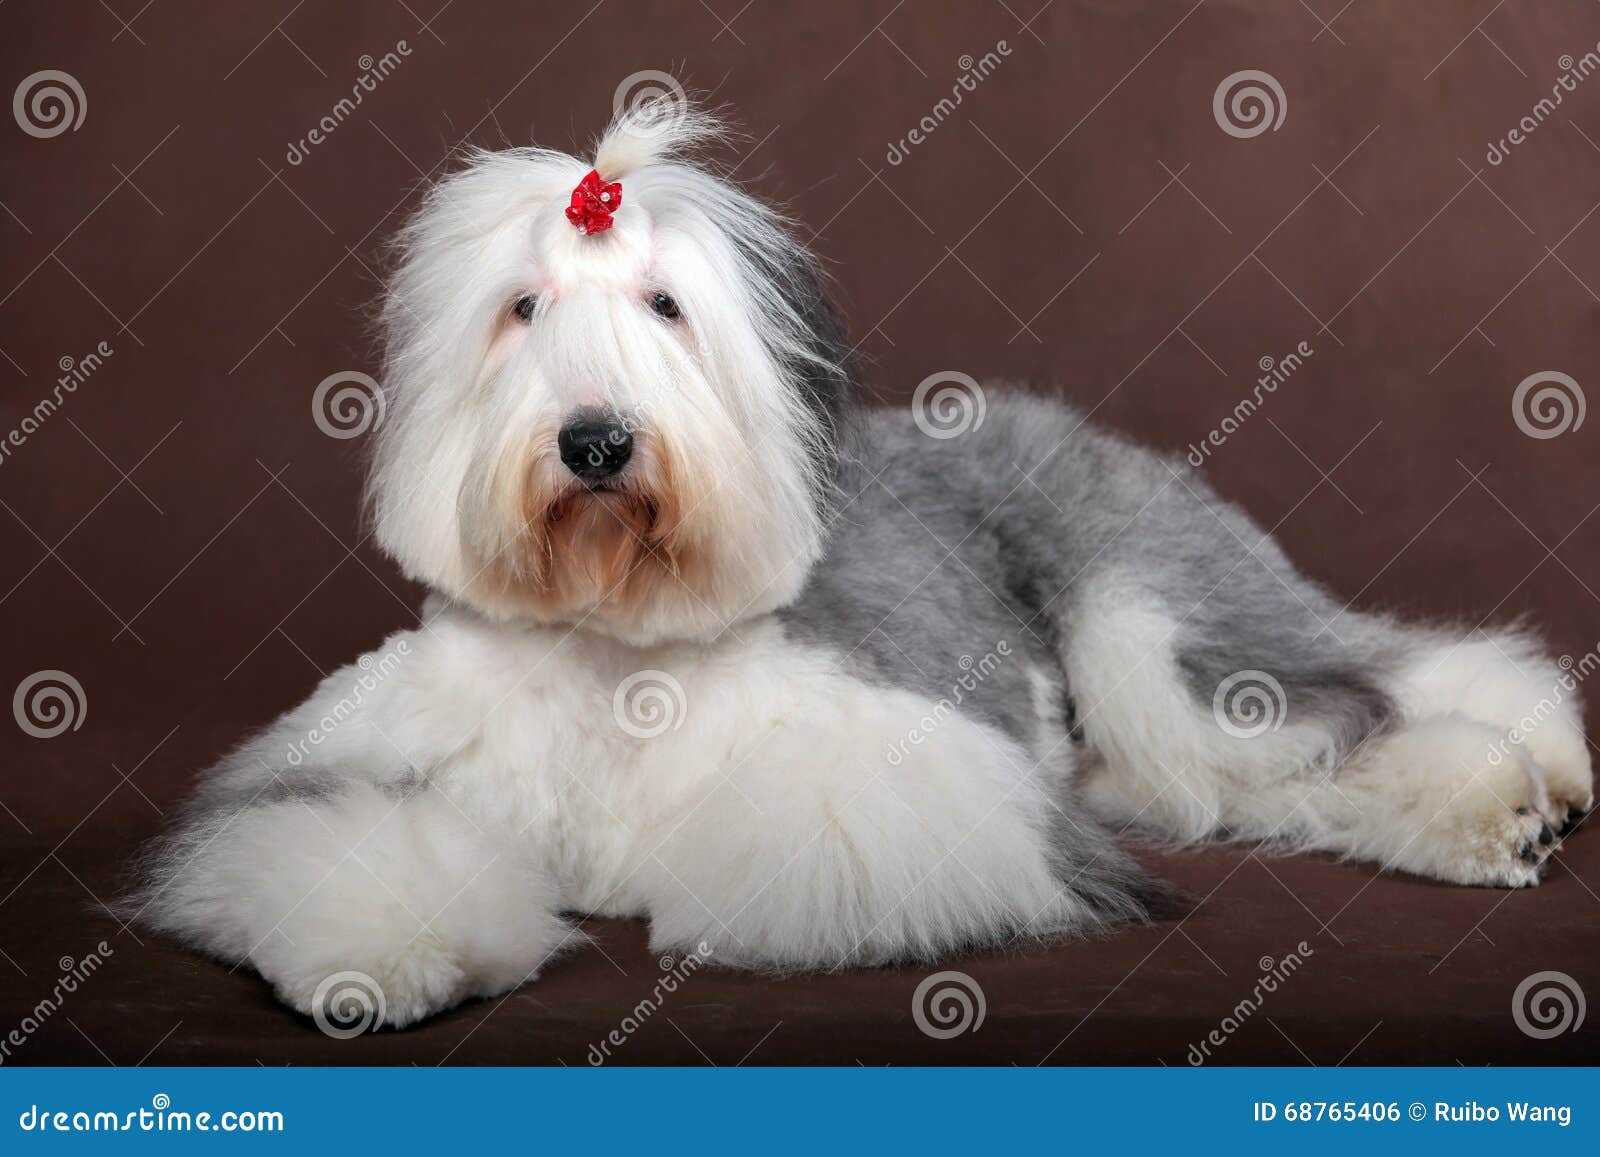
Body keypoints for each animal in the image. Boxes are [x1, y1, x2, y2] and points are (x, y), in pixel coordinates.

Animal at [131, 102, 1593, 1030]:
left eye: (666, 306)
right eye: (522, 309)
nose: (596, 440)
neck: (616, 645)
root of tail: (1045, 417)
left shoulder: (924, 771)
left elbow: (823, 817)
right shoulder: (333, 759)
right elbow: (318, 827)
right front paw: (386, 952)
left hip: (1153, 624)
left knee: (1365, 691)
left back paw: (1522, 782)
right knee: (1274, 770)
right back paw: (1504, 806)